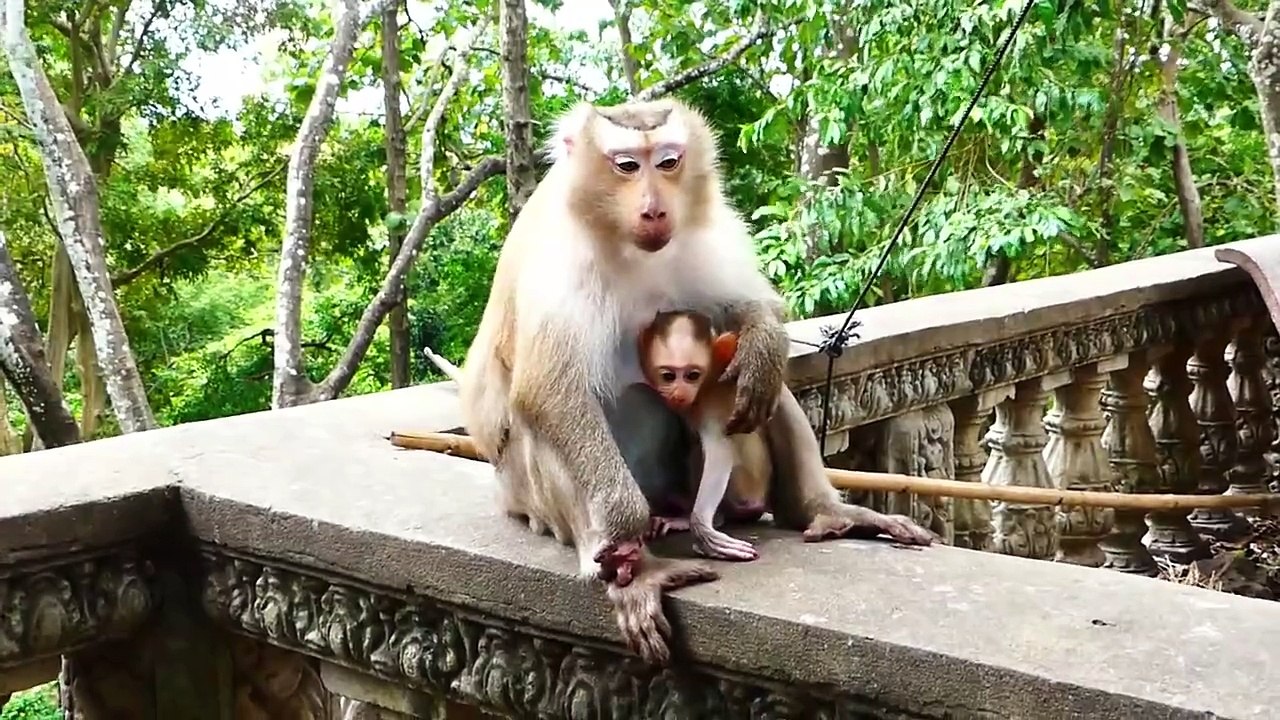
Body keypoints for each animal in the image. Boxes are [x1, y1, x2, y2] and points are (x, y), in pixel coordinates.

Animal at [637, 309, 770, 561]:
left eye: (692, 375)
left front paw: (701, 528)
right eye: (668, 376)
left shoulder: (711, 404)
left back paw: (713, 519)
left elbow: (719, 452)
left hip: (743, 498)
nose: (679, 393)